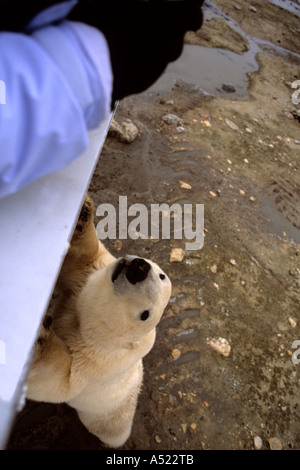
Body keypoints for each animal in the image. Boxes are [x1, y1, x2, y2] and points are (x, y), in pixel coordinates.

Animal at [26, 195, 171, 448]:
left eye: (145, 314)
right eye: (162, 275)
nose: (139, 268)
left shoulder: (99, 362)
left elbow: (60, 381)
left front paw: (41, 335)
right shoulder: (87, 277)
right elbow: (83, 259)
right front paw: (83, 211)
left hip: (111, 419)